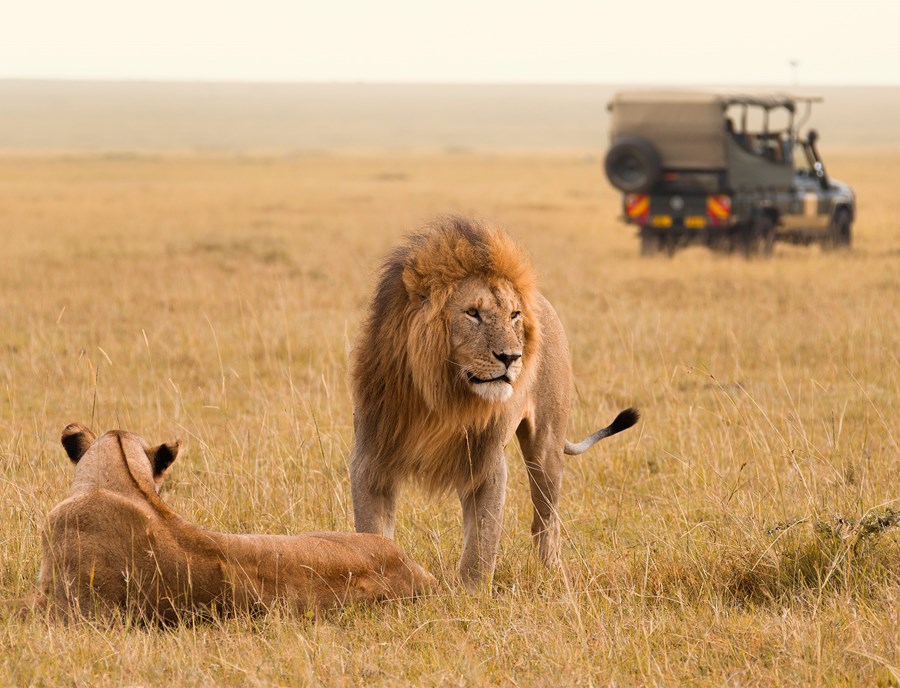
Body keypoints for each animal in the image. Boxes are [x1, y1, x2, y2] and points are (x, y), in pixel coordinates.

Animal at [350, 216, 639, 588]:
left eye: (514, 315)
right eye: (472, 313)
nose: (511, 357)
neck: (441, 397)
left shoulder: (486, 463)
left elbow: (482, 542)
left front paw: (470, 594)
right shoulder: (371, 458)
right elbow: (372, 533)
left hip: (546, 447)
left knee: (545, 520)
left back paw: (552, 573)